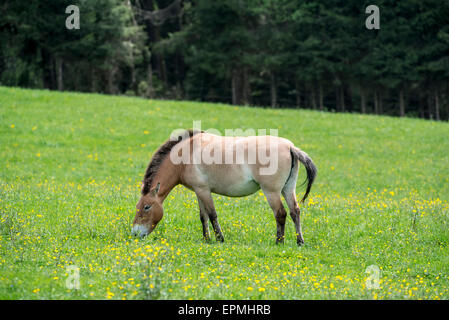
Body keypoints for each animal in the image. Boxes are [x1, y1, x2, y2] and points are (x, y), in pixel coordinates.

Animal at [131, 129, 316, 246]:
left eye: (147, 207)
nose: (135, 233)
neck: (184, 156)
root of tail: (290, 147)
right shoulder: (199, 191)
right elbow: (203, 216)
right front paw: (206, 239)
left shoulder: (204, 191)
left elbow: (212, 215)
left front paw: (220, 239)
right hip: (288, 189)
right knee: (294, 212)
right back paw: (300, 241)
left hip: (272, 192)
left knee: (281, 214)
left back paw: (279, 241)